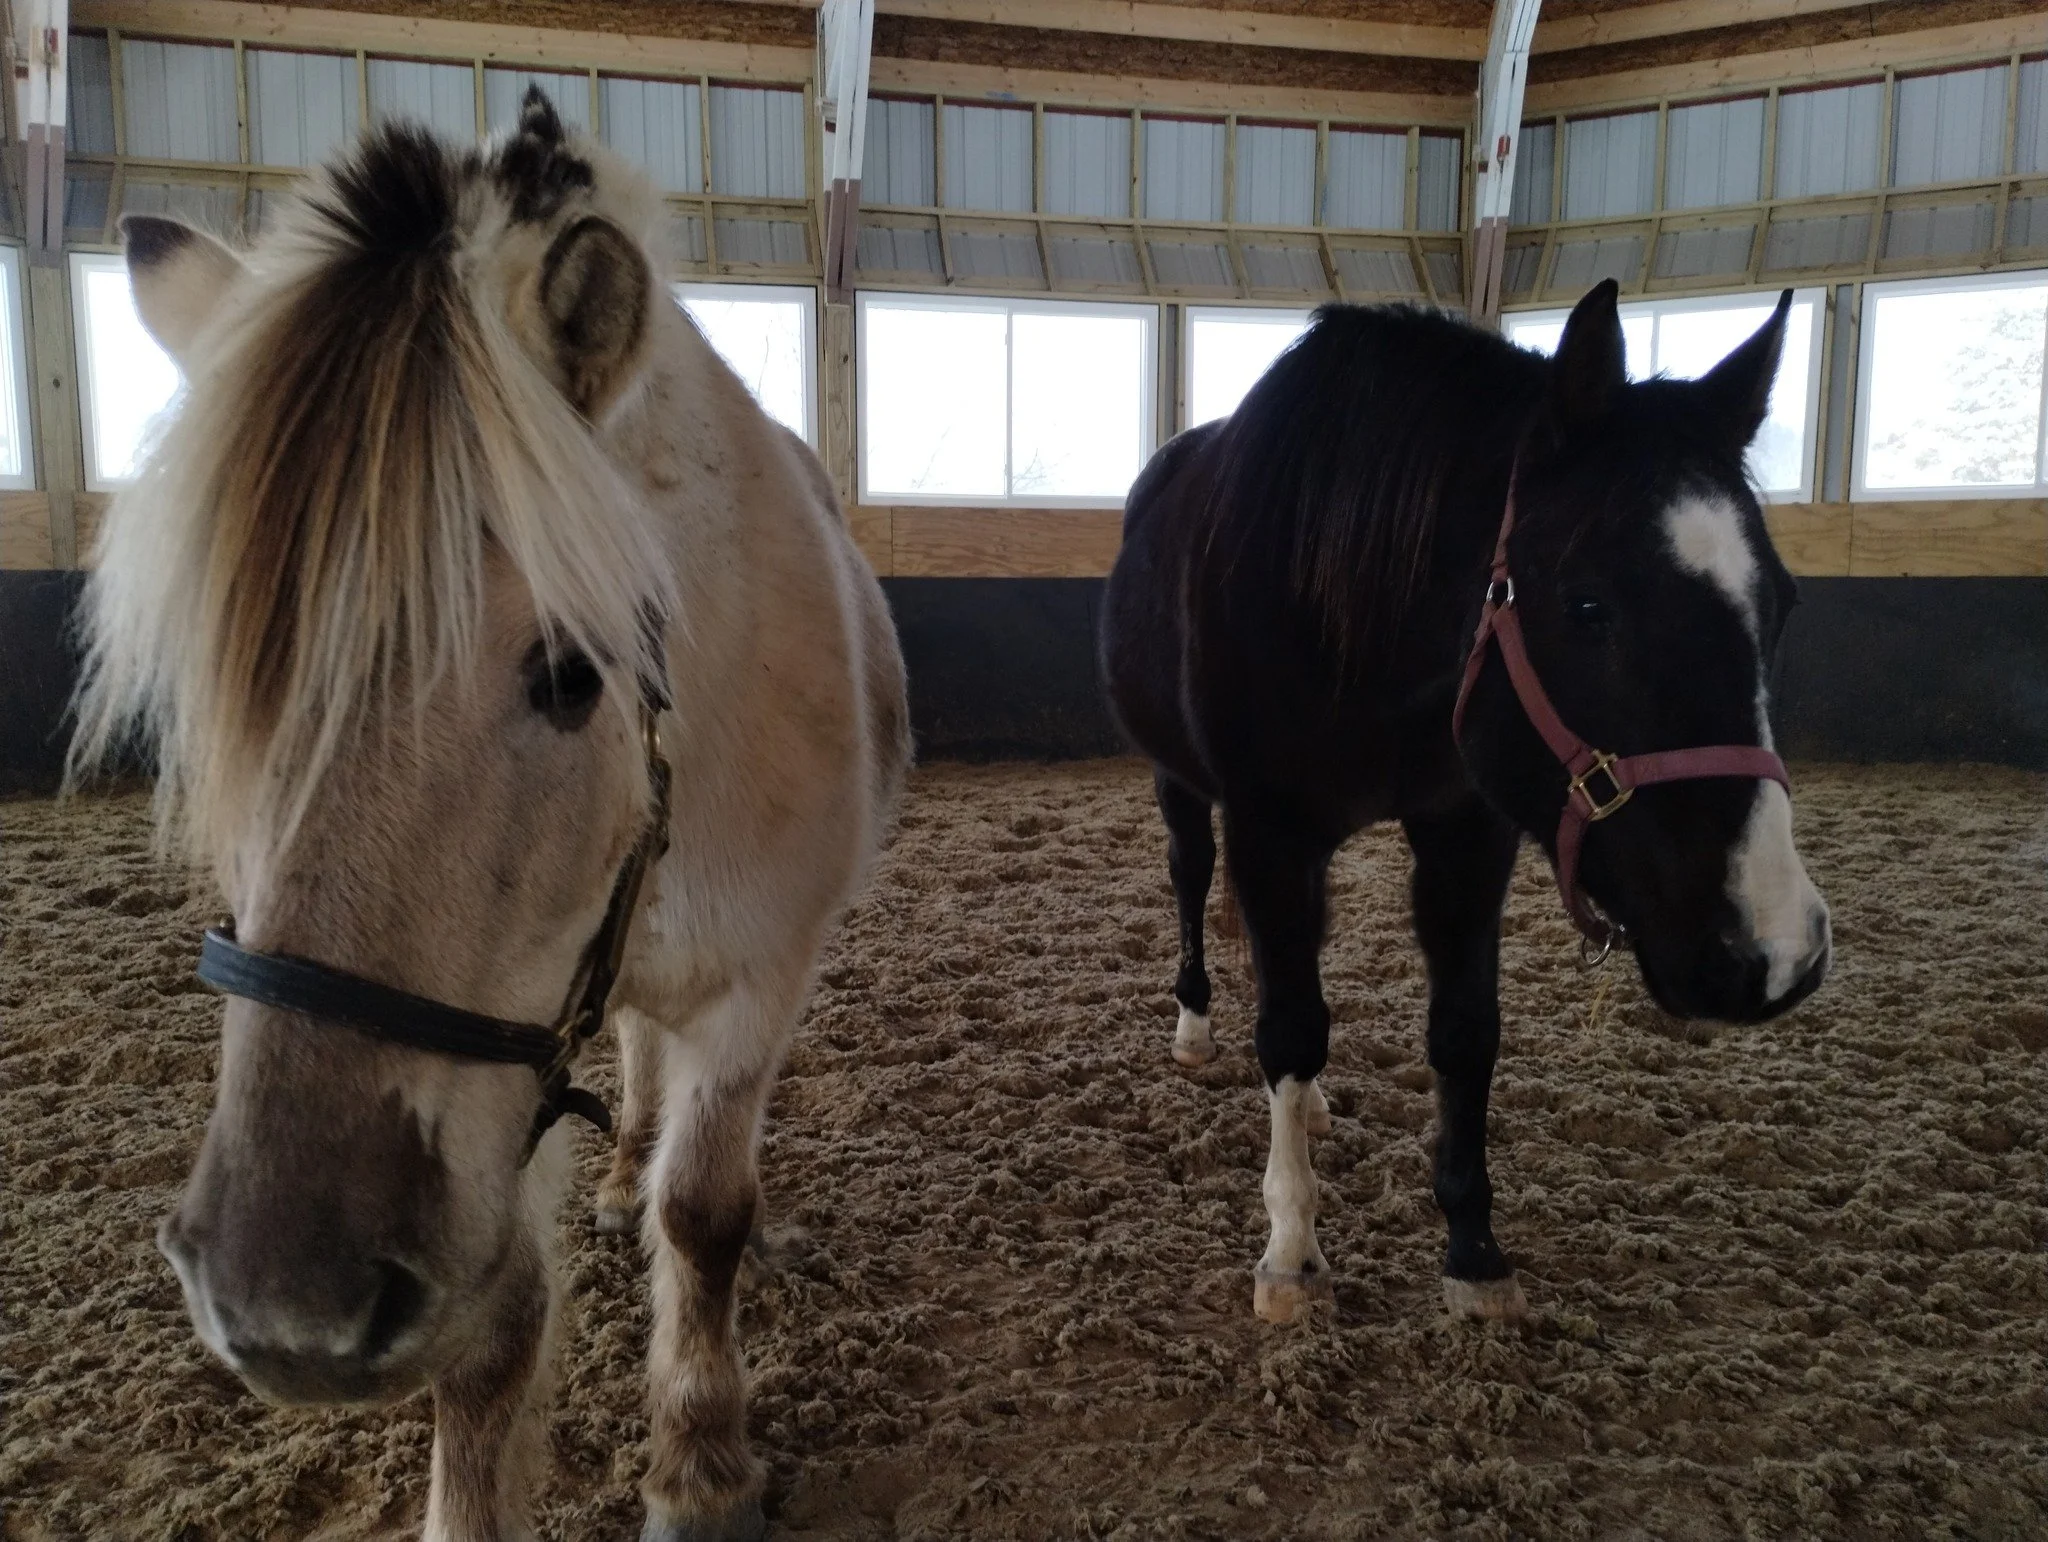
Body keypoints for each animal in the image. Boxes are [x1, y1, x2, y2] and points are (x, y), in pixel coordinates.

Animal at [69, 94, 908, 1542]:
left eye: (567, 674)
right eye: (219, 688)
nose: (285, 1304)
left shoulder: (754, 983)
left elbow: (707, 1210)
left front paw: (700, 1461)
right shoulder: (501, 1058)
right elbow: (495, 1327)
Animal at [1099, 280, 1830, 1326]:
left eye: (1782, 603)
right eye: (1587, 606)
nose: (1773, 952)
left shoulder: (1465, 831)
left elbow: (1462, 1032)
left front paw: (1473, 1249)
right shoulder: (1271, 832)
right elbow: (1290, 1026)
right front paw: (1291, 1251)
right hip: (1183, 789)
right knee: (1194, 885)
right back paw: (1198, 1030)